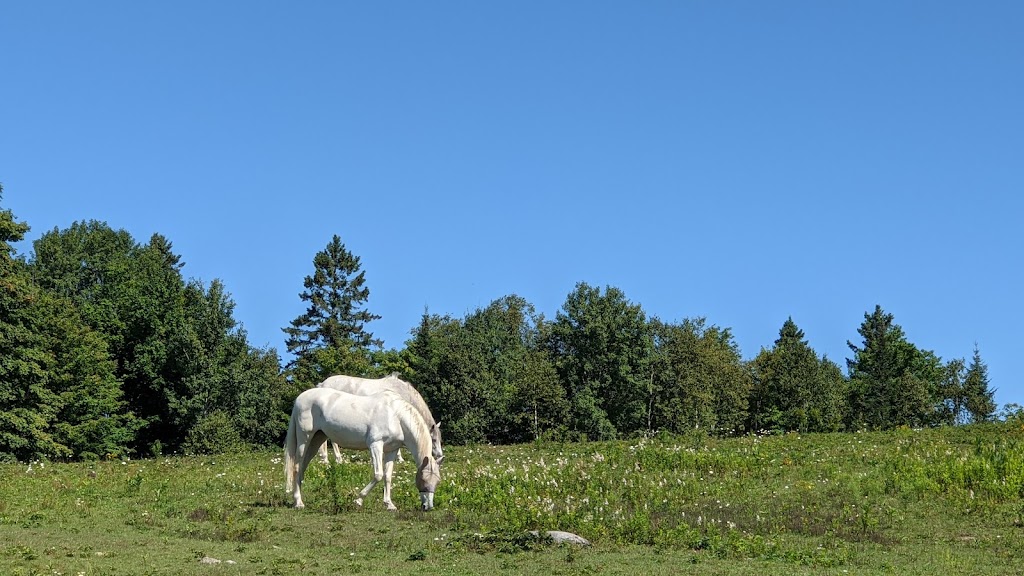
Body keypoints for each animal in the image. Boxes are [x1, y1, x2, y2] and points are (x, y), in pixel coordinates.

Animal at [284, 383, 440, 508]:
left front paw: (389, 504)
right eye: (423, 479)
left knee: (302, 467)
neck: (395, 415)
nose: (428, 506)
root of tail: (300, 398)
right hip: (304, 439)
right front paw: (358, 500)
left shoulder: (392, 450)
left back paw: (297, 498)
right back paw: (298, 502)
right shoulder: (375, 445)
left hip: (316, 440)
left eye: (437, 481)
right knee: (296, 467)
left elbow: (387, 476)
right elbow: (378, 475)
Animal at [315, 375, 444, 463]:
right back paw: (333, 459)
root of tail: (322, 384)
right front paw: (400, 458)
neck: (403, 392)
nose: (440, 456)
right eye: (433, 440)